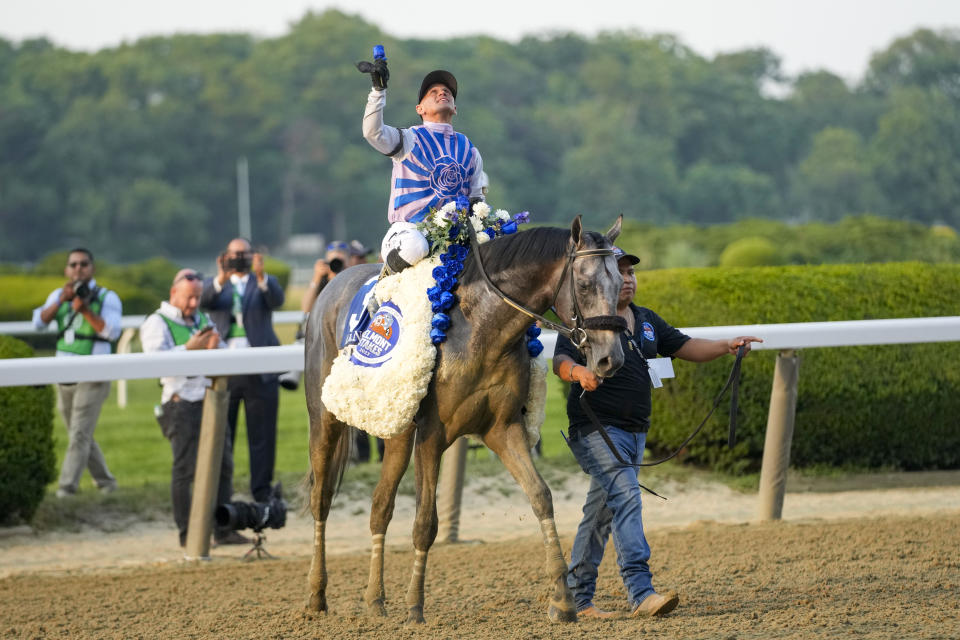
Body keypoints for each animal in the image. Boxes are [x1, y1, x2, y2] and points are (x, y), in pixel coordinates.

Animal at [304, 216, 628, 624]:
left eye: (619, 285)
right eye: (584, 284)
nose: (610, 359)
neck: (479, 327)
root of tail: (330, 286)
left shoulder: (503, 429)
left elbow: (541, 497)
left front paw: (563, 601)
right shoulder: (432, 436)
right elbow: (426, 522)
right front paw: (415, 607)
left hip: (395, 427)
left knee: (380, 507)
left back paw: (375, 600)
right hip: (325, 420)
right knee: (321, 499)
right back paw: (317, 595)